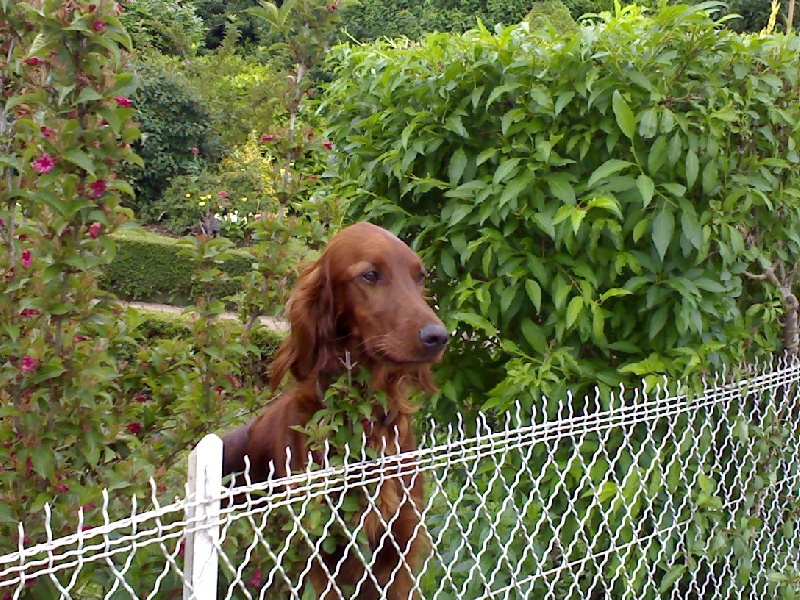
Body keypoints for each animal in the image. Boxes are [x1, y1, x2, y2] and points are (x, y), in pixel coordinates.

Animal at [222, 223, 446, 596]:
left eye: (420, 276)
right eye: (370, 274)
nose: (439, 337)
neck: (367, 421)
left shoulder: (399, 554)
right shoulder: (316, 558)